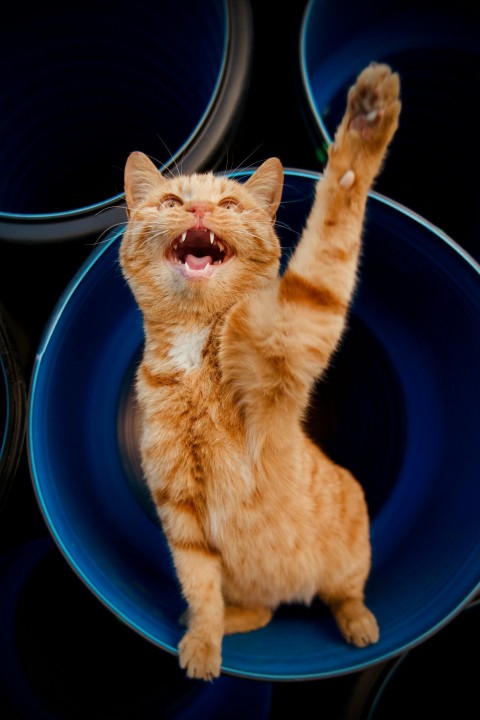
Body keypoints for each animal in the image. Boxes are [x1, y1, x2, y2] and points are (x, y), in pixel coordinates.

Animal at [120, 63, 402, 680]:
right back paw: (233, 619)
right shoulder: (181, 516)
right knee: (262, 609)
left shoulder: (294, 327)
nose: (199, 212)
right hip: (258, 585)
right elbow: (200, 588)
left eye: (228, 204)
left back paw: (360, 624)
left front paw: (365, 126)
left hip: (349, 548)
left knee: (345, 593)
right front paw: (204, 643)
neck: (194, 353)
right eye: (173, 199)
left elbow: (333, 223)